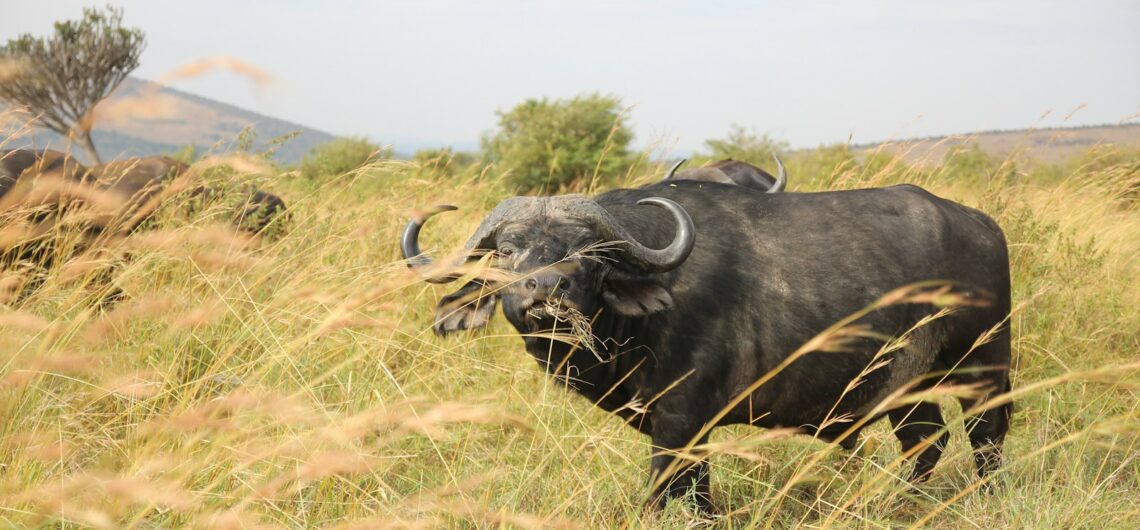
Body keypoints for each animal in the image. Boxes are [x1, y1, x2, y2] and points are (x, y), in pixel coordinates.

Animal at [403, 180, 1016, 510]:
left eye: (590, 252)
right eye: (506, 251)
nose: (545, 288)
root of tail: (981, 224)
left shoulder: (681, 422)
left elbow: (668, 491)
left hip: (983, 364)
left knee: (985, 436)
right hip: (905, 385)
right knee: (926, 441)